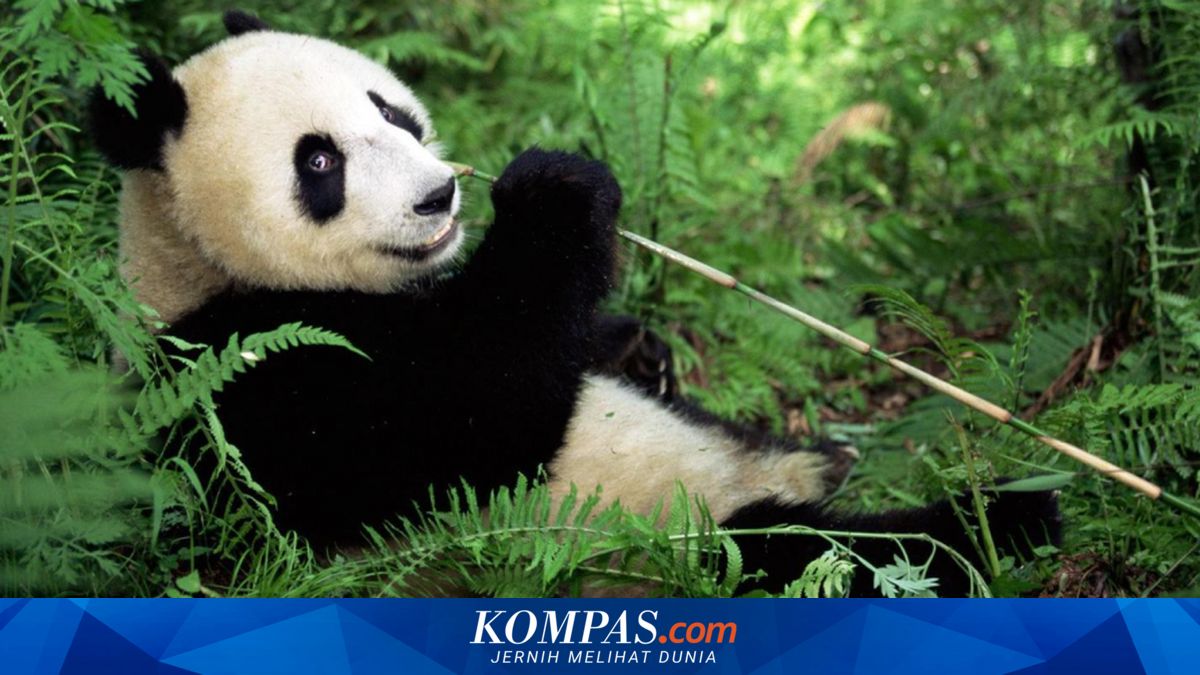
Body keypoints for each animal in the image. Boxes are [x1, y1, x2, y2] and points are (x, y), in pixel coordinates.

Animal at [91, 10, 1060, 596]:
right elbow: (475, 422)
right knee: (810, 556)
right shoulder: (246, 379)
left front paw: (634, 344)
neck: (195, 264)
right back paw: (999, 520)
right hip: (659, 549)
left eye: (391, 113)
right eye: (320, 161)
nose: (440, 196)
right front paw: (556, 190)